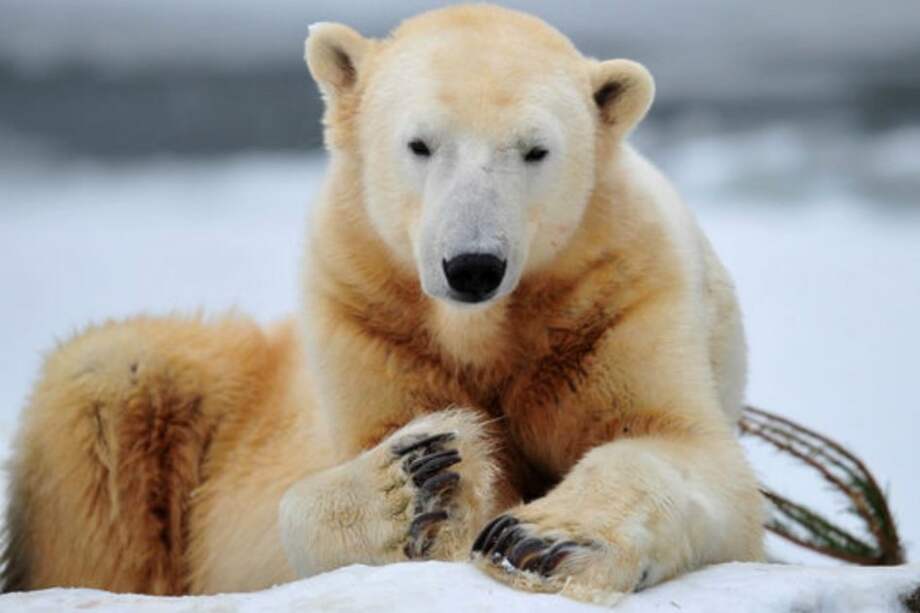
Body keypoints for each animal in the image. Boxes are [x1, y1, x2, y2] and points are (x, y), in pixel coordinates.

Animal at [1, 4, 764, 605]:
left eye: (536, 150)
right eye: (420, 143)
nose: (473, 265)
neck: (482, 329)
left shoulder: (614, 301)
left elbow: (677, 444)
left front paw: (539, 540)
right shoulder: (367, 316)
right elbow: (345, 468)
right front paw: (421, 481)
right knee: (107, 381)